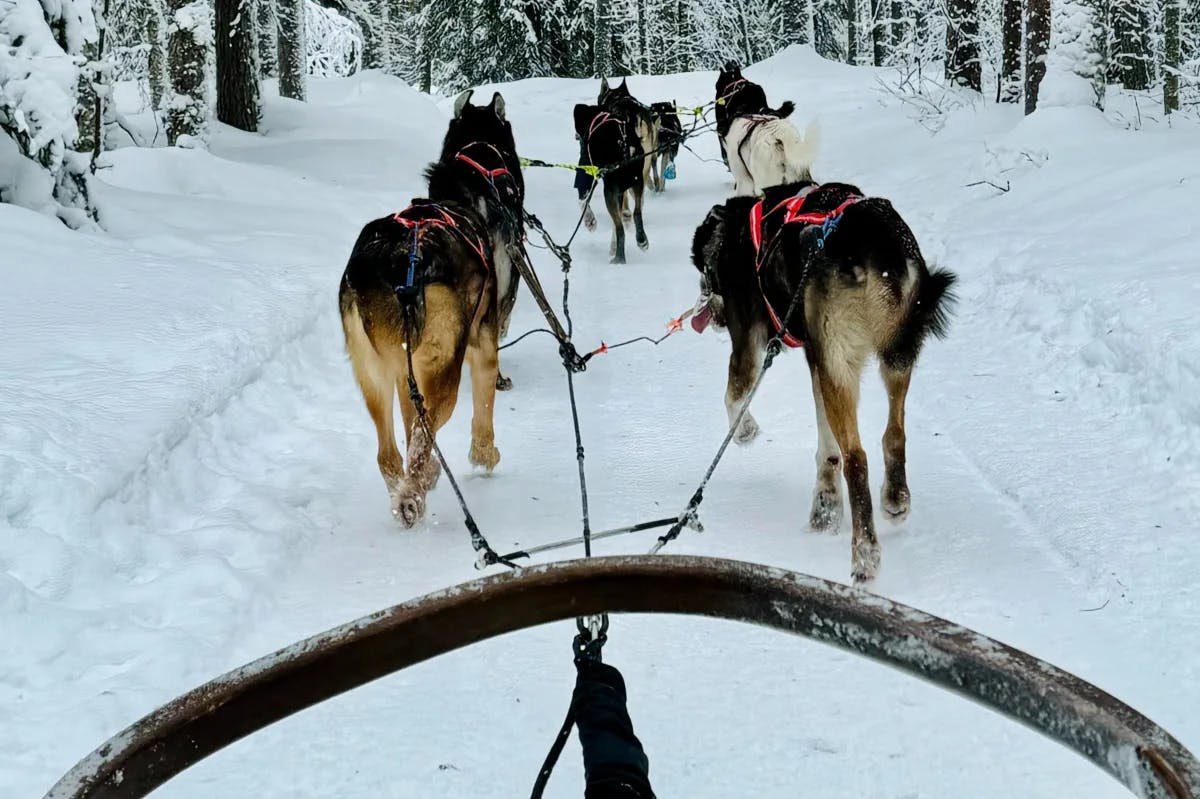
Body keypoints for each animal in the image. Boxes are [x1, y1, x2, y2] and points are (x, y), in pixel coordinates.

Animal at [696, 178, 955, 578]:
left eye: (704, 273)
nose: (705, 307)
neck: (745, 229)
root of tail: (875, 244)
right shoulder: (817, 359)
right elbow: (827, 446)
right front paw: (826, 505)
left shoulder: (752, 341)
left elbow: (734, 395)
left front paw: (745, 431)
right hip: (892, 356)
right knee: (893, 434)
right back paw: (895, 497)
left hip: (839, 359)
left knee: (857, 458)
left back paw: (865, 552)